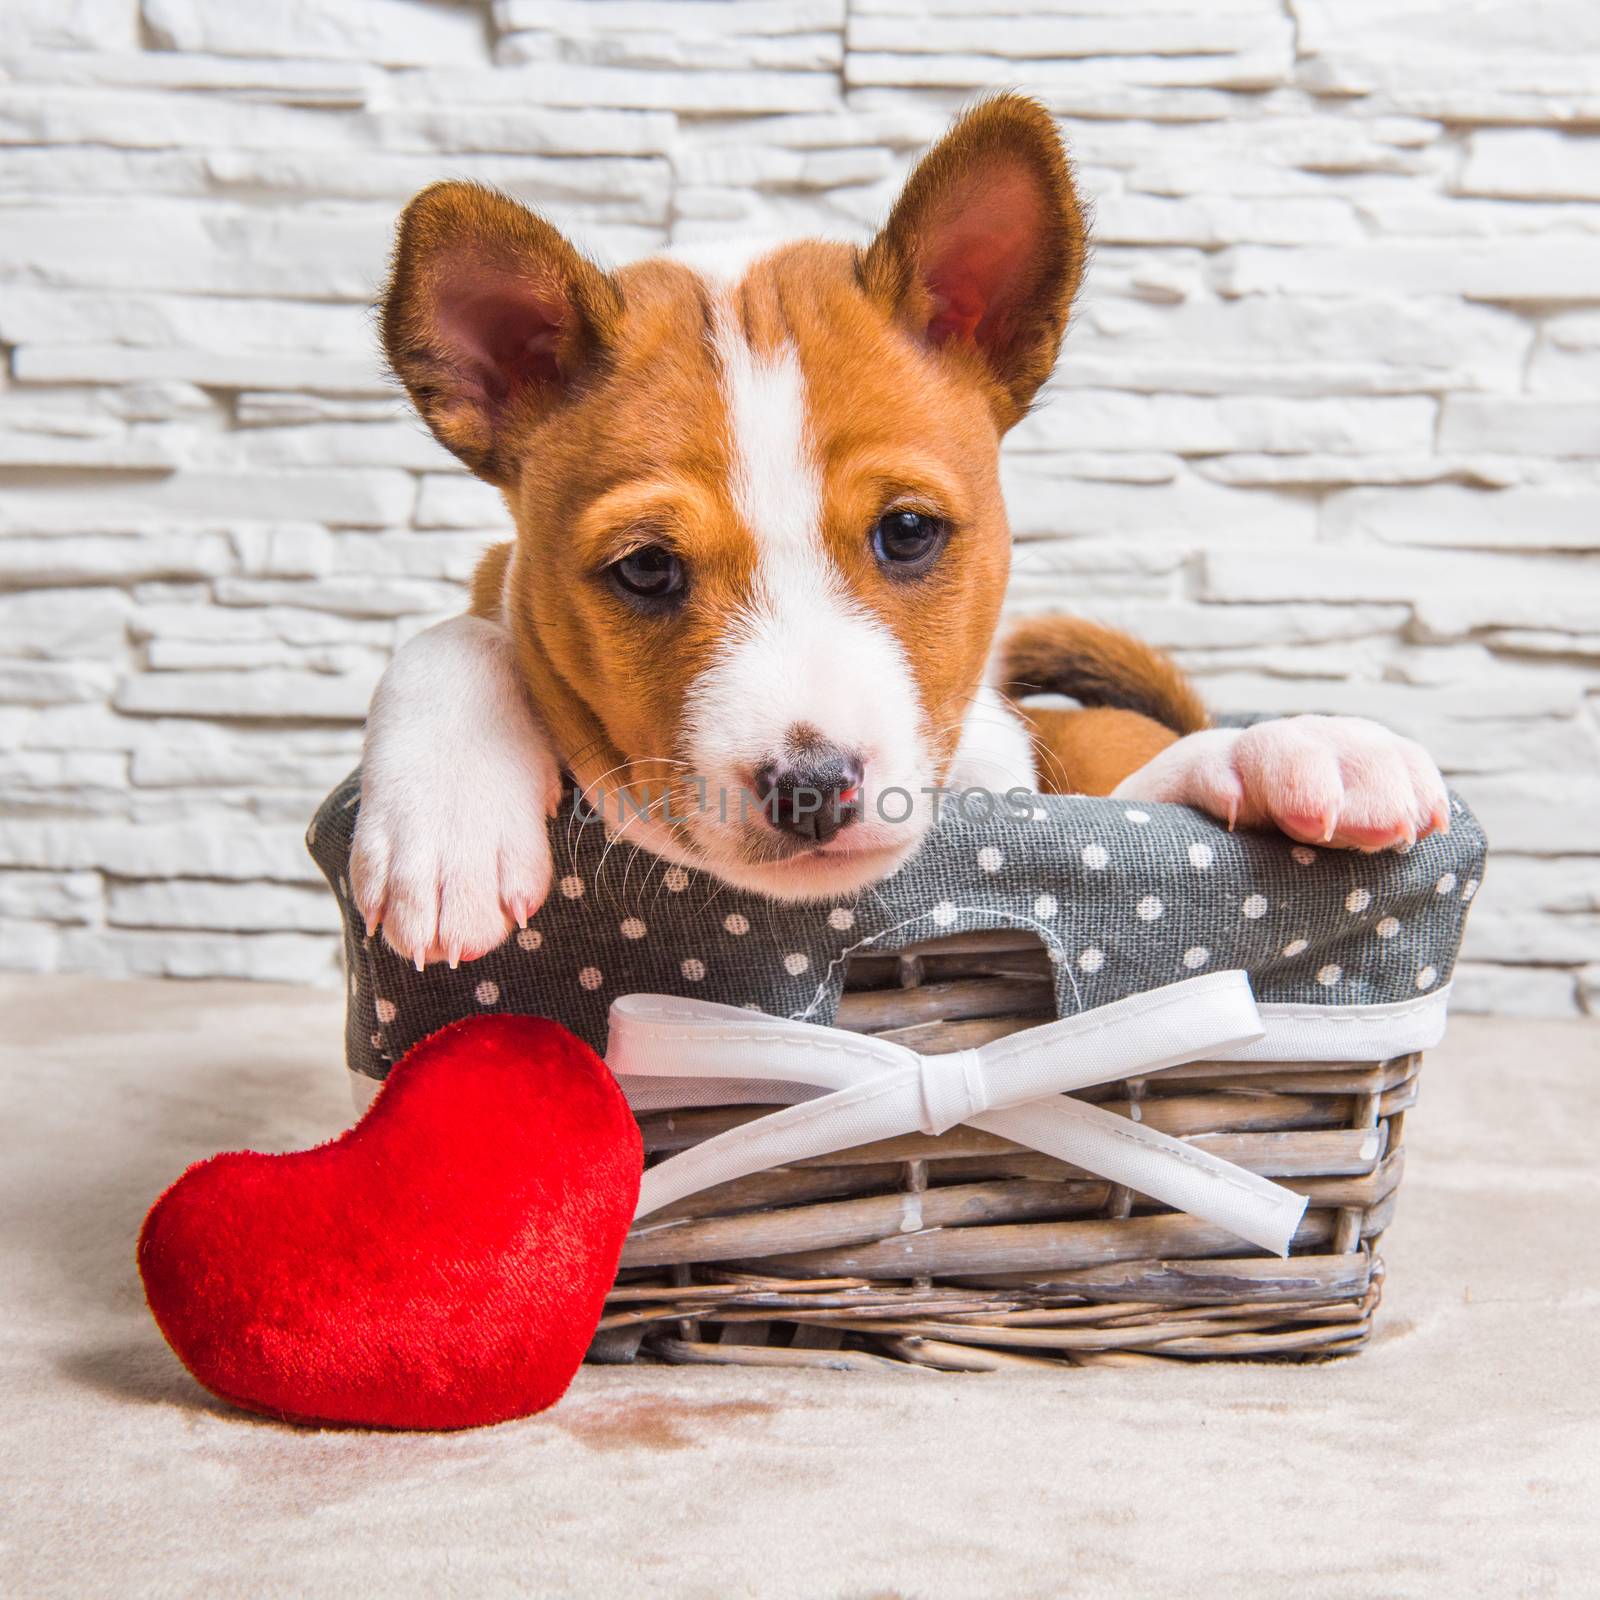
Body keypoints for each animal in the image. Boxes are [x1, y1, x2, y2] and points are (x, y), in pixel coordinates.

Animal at [353, 103, 1452, 972]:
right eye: (647, 567)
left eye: (909, 532)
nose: (812, 790)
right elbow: (455, 634)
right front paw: (447, 818)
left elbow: (1154, 783)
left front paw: (1291, 746)